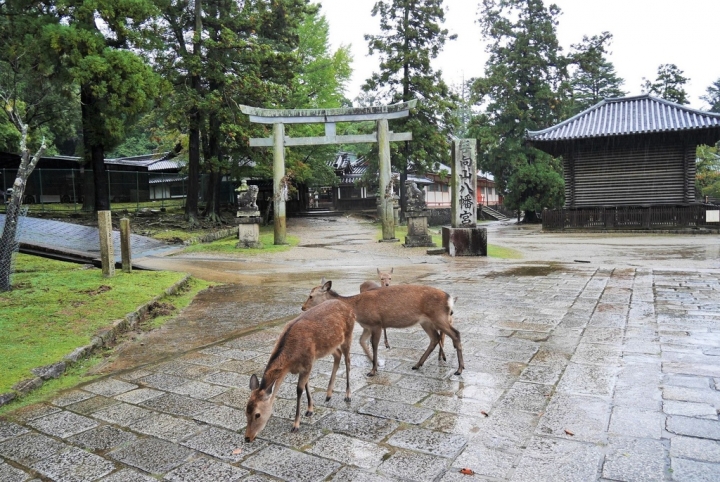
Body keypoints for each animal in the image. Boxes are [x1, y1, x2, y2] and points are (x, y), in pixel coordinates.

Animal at [245, 300, 354, 442]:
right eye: (246, 411)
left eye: (257, 414)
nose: (247, 438)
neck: (291, 361)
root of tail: (347, 305)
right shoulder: (304, 366)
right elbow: (306, 384)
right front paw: (310, 410)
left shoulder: (308, 362)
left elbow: (299, 390)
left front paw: (296, 425)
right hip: (331, 345)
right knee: (337, 355)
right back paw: (328, 394)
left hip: (348, 335)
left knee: (348, 361)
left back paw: (348, 395)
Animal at [302, 278, 462, 376]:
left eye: (311, 296)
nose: (303, 307)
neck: (356, 309)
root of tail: (450, 299)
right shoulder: (367, 326)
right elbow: (362, 342)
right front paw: (375, 363)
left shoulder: (376, 323)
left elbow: (374, 345)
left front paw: (373, 370)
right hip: (426, 321)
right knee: (435, 338)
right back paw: (417, 364)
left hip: (438, 317)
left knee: (455, 334)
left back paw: (459, 369)